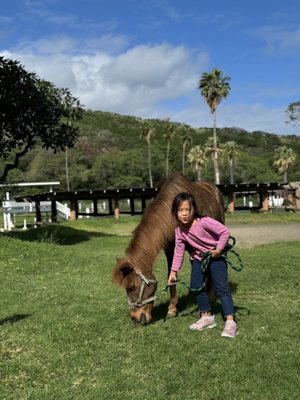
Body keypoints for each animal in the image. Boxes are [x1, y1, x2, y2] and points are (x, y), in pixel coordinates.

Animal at [111, 174, 224, 324]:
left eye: (131, 287)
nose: (135, 318)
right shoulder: (171, 250)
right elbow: (172, 276)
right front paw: (172, 309)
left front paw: (209, 299)